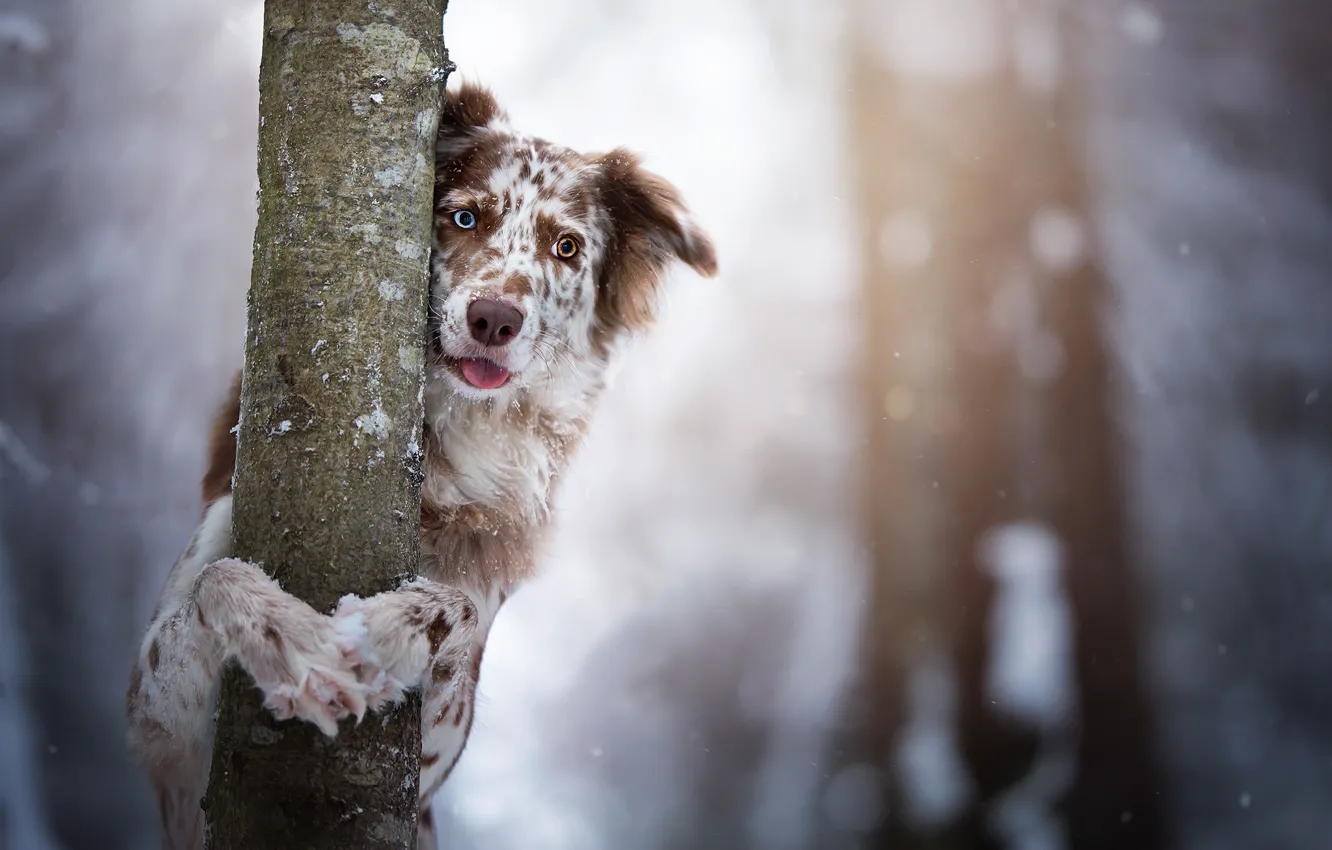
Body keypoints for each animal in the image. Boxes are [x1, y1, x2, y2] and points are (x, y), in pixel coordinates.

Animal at [125, 81, 719, 850]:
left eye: (565, 247)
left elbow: (457, 610)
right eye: (464, 216)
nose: (494, 319)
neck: (453, 442)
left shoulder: (440, 744)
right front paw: (296, 644)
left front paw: (384, 635)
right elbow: (215, 582)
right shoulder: (158, 732)